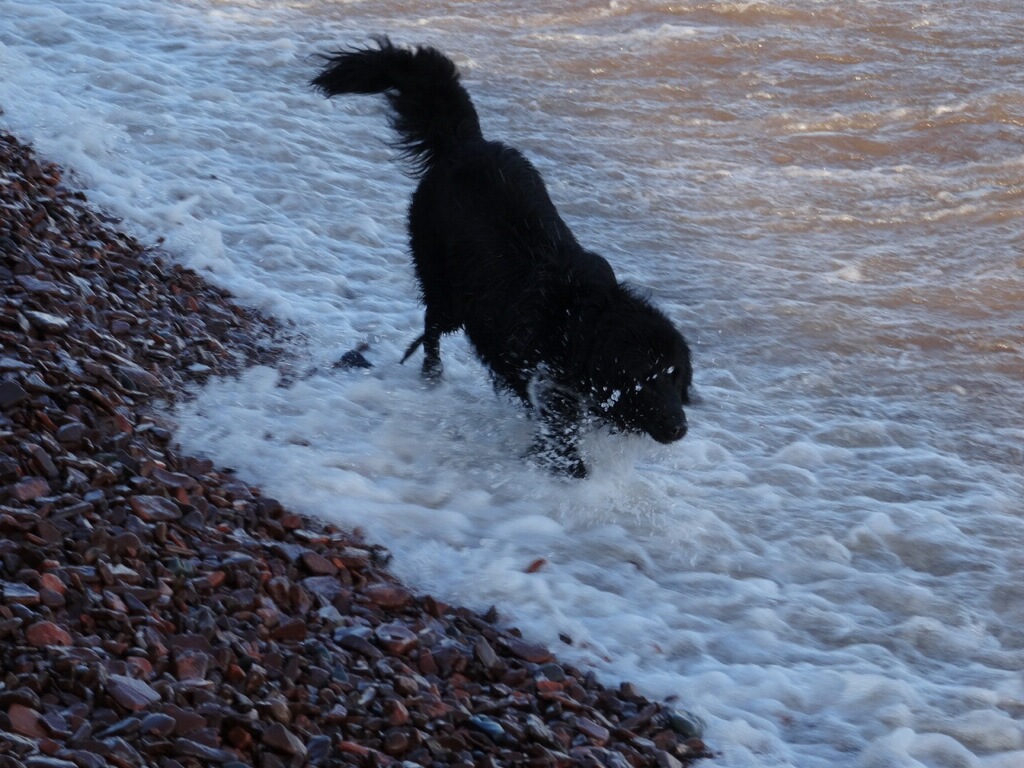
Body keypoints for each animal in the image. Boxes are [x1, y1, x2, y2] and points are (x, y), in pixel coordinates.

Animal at [311, 40, 696, 475]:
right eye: (645, 377)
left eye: (674, 375)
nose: (679, 427)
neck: (579, 324)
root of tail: (464, 143)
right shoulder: (549, 383)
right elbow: (559, 432)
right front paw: (567, 467)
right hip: (445, 284)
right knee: (431, 325)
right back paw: (431, 377)